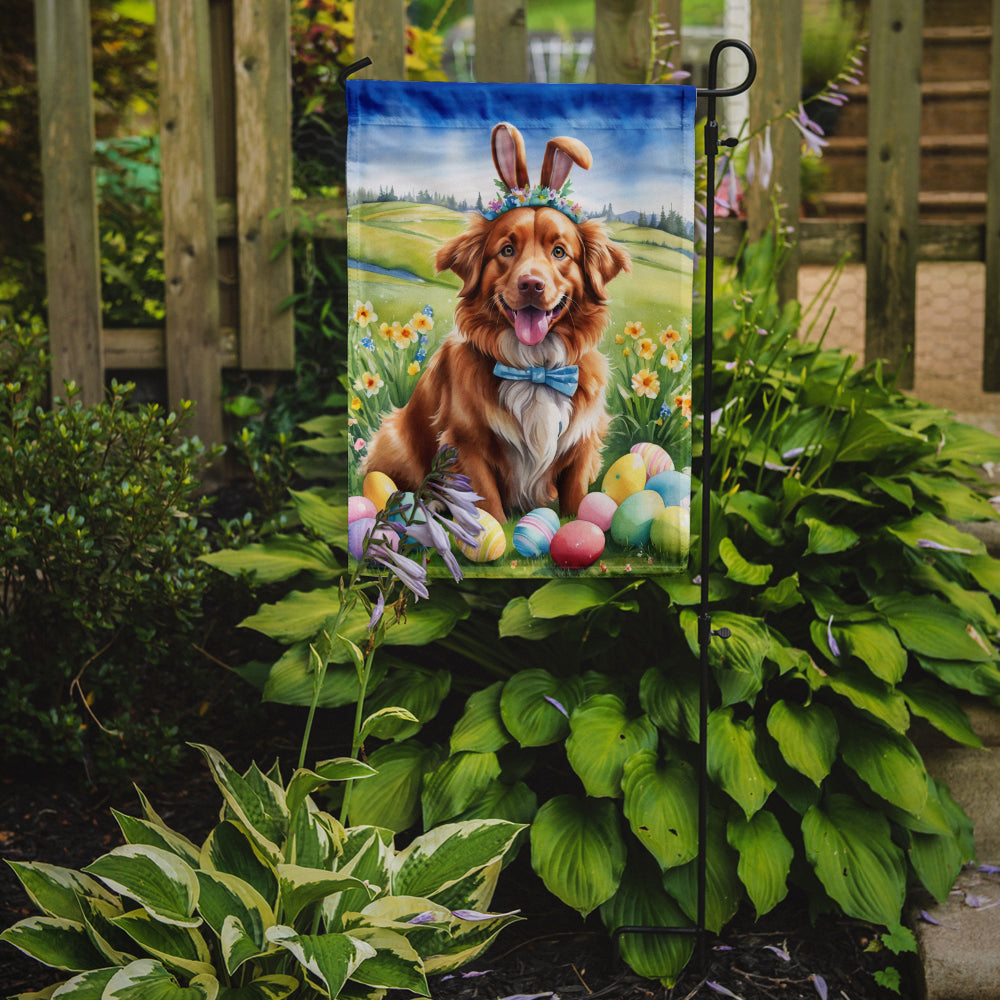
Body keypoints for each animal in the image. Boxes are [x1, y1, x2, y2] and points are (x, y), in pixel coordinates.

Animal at [360, 121, 628, 520]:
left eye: (559, 251)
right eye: (507, 250)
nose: (531, 284)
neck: (535, 367)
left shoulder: (581, 443)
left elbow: (577, 498)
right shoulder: (466, 445)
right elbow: (489, 509)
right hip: (395, 440)